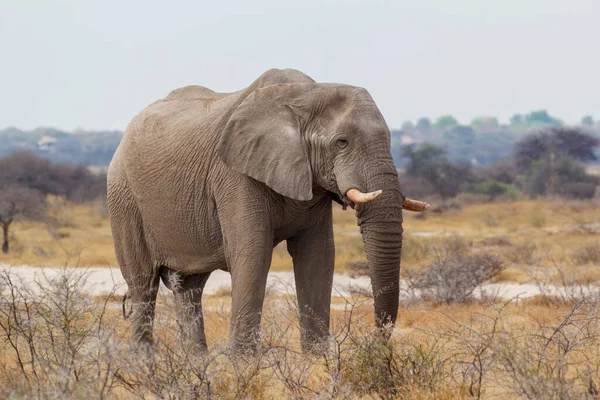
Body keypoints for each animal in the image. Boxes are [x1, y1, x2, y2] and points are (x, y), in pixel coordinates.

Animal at [106, 69, 426, 354]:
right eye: (342, 142)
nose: (378, 341)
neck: (306, 94)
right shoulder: (235, 174)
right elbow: (253, 252)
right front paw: (242, 362)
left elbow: (318, 254)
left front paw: (316, 359)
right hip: (123, 197)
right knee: (143, 284)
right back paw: (144, 362)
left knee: (188, 287)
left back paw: (196, 362)